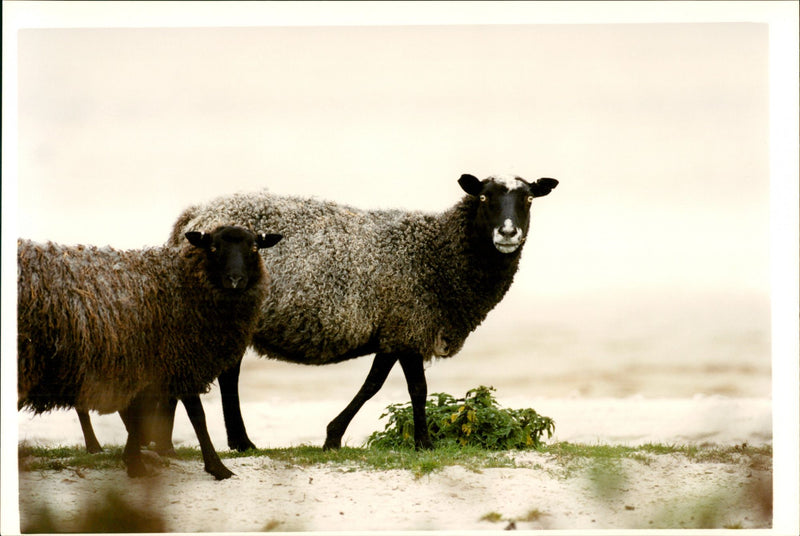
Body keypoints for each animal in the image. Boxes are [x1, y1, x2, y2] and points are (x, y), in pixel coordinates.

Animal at [17, 226, 282, 478]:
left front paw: (134, 460)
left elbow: (140, 415)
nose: (235, 279)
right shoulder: (180, 359)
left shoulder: (153, 366)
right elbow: (198, 417)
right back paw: (93, 446)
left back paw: (95, 447)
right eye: (214, 248)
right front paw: (217, 468)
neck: (182, 285)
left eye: (254, 248)